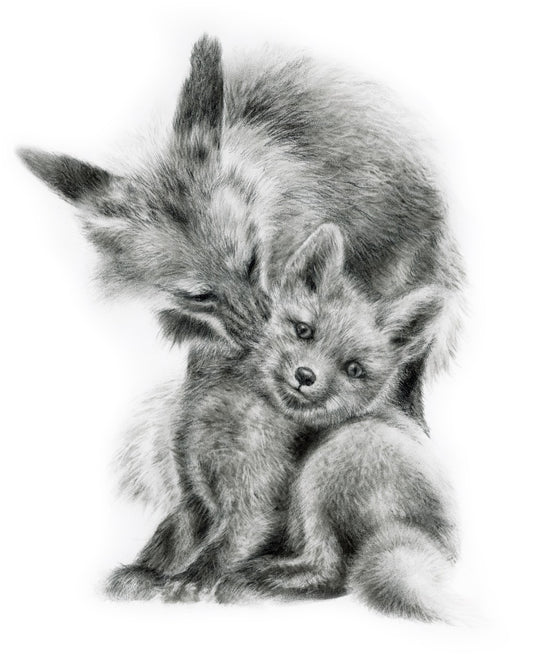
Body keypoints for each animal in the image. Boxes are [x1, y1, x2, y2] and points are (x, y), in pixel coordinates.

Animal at [107, 224, 458, 622]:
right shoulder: (194, 496)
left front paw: (190, 582)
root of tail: (442, 545)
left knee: (333, 572)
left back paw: (256, 580)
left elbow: (220, 549)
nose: (305, 376)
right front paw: (143, 574)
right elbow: (168, 542)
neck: (226, 419)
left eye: (353, 369)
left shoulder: (257, 507)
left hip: (331, 460)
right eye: (303, 330)